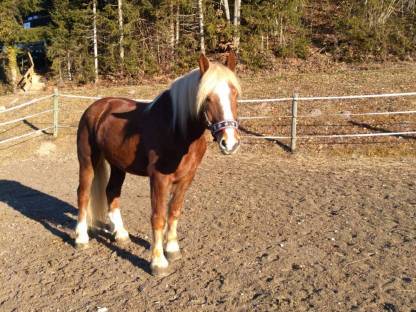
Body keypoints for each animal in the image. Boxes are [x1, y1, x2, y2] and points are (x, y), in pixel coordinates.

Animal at [75, 52, 240, 276]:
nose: (229, 143)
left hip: (118, 166)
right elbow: (158, 216)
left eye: (235, 94)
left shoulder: (187, 178)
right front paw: (158, 262)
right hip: (87, 162)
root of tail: (95, 108)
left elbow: (174, 211)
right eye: (207, 98)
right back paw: (81, 238)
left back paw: (121, 234)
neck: (177, 130)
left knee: (112, 192)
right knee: (83, 194)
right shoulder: (159, 179)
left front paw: (172, 249)